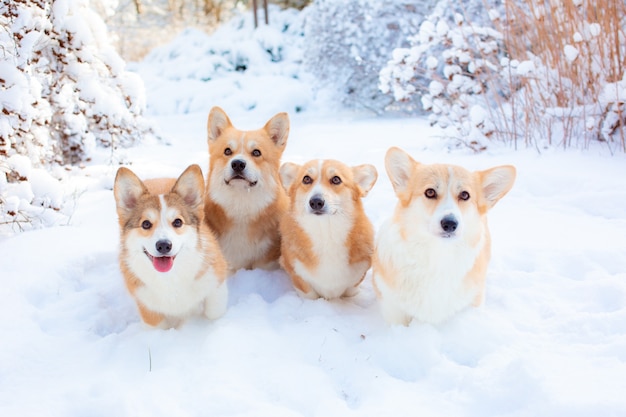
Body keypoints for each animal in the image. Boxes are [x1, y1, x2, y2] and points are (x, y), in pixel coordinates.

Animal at [113, 164, 228, 326]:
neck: (169, 277)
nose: (163, 245)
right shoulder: (146, 306)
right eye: (146, 224)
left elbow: (214, 312)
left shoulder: (216, 281)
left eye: (178, 222)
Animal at [280, 159, 378, 300]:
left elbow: (351, 289)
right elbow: (308, 293)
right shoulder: (297, 274)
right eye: (306, 179)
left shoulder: (358, 275)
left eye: (336, 179)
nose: (316, 202)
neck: (326, 234)